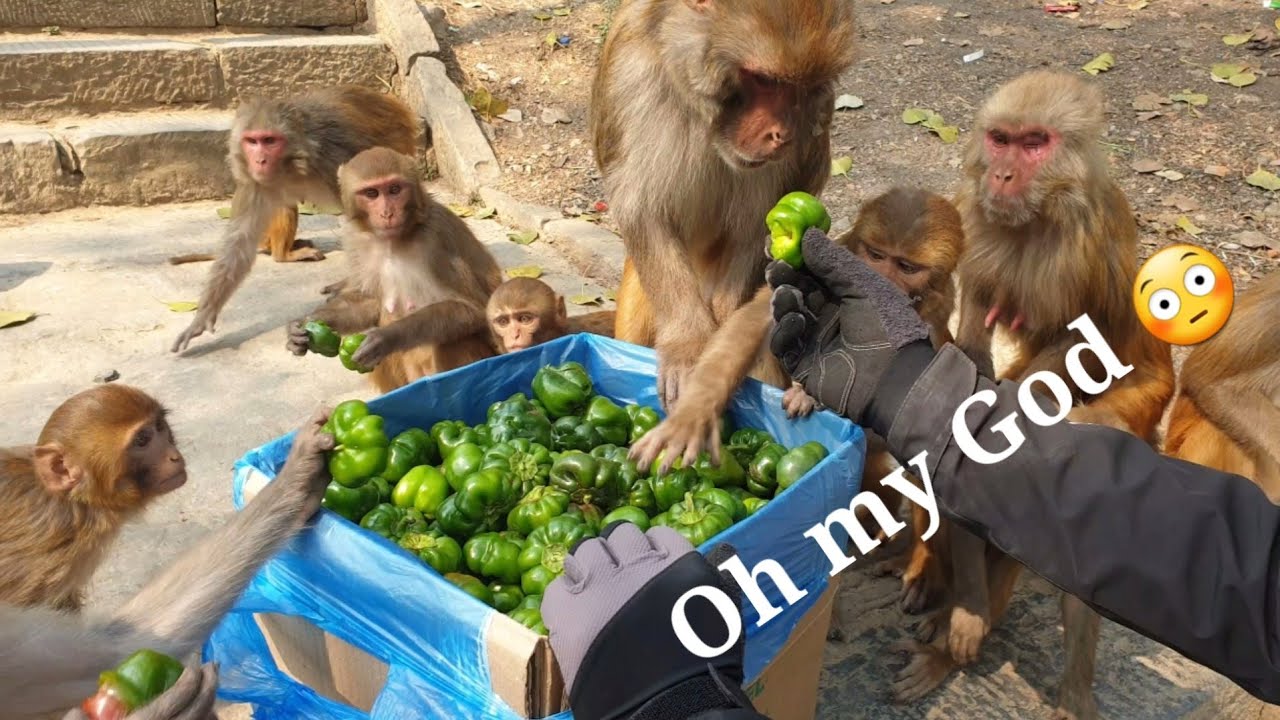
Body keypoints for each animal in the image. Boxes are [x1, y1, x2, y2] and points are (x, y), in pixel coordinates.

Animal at [170, 85, 419, 354]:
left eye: (269, 141)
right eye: (252, 141)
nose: (260, 161)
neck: (293, 160)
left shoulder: (337, 161)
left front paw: (351, 287)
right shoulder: (253, 180)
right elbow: (240, 243)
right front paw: (201, 317)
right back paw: (286, 252)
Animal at [286, 147, 502, 394]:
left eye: (395, 189)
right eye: (371, 193)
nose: (387, 213)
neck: (394, 240)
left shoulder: (436, 240)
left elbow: (471, 309)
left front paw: (386, 337)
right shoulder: (356, 240)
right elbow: (370, 302)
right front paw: (305, 324)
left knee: (453, 338)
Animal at [593, 0, 858, 470]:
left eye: (802, 87)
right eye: (764, 79)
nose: (781, 134)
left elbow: (760, 228)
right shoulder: (629, 75)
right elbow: (642, 209)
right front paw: (687, 346)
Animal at [891, 71, 1175, 720]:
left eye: (1034, 143)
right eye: (1001, 139)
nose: (1001, 175)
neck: (1038, 216)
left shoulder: (1089, 235)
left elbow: (1083, 343)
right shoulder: (977, 225)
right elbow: (967, 366)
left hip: (1147, 403)